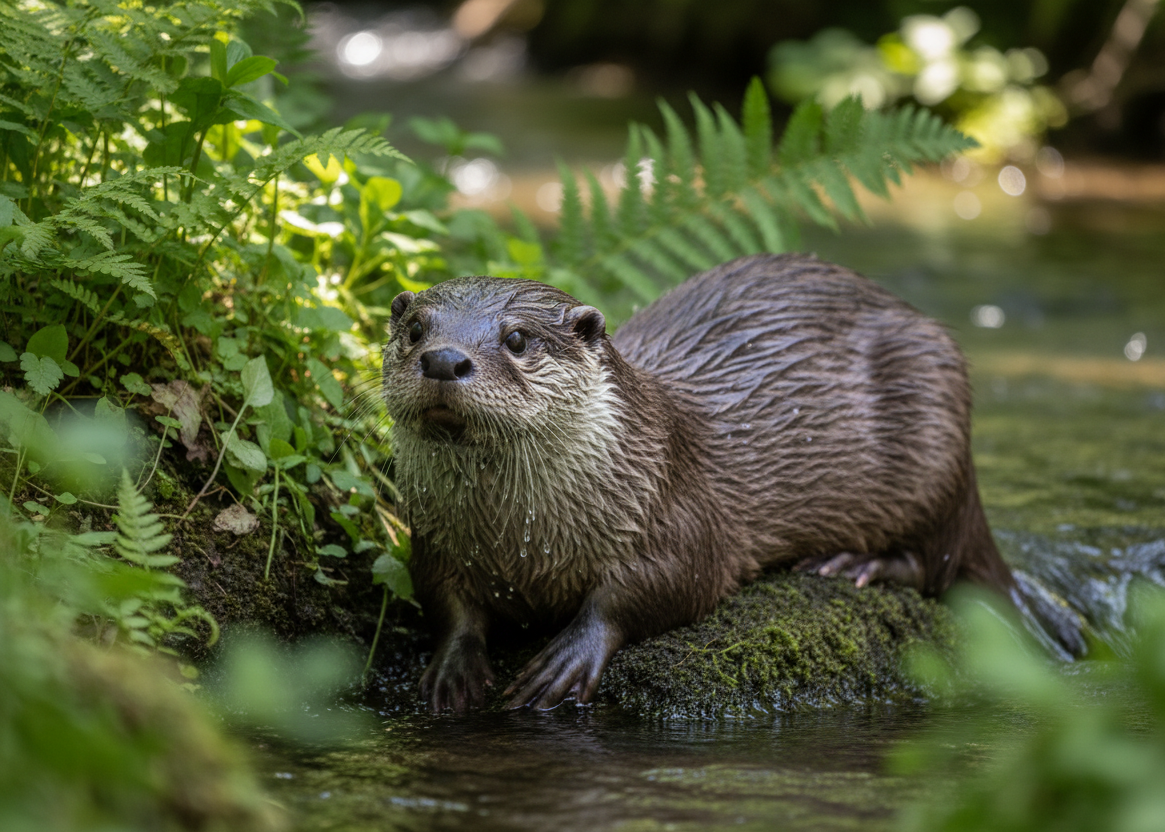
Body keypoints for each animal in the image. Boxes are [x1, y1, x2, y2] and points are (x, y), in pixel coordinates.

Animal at [382, 253, 1020, 713]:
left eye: (516, 338)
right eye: (414, 330)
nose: (443, 359)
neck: (521, 543)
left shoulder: (674, 508)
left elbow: (666, 584)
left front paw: (569, 656)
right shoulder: (435, 538)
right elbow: (444, 599)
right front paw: (453, 667)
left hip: (935, 430)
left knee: (935, 562)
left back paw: (853, 563)